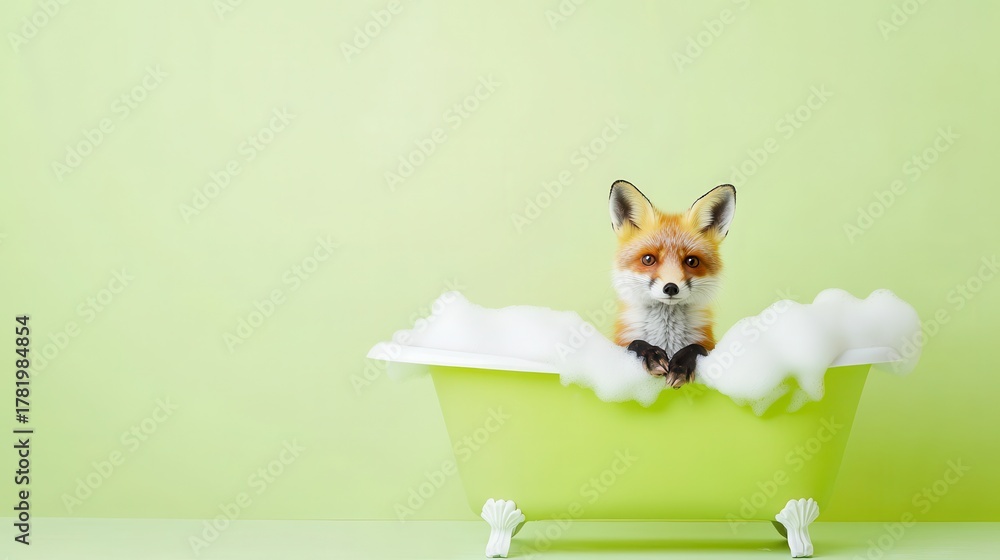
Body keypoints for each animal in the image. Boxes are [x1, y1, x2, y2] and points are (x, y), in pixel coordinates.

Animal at [608, 180, 736, 388]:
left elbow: (696, 347)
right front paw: (652, 355)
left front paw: (680, 367)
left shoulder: (709, 345)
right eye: (648, 259)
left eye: (692, 261)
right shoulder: (620, 343)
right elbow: (636, 343)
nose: (670, 287)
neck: (667, 339)